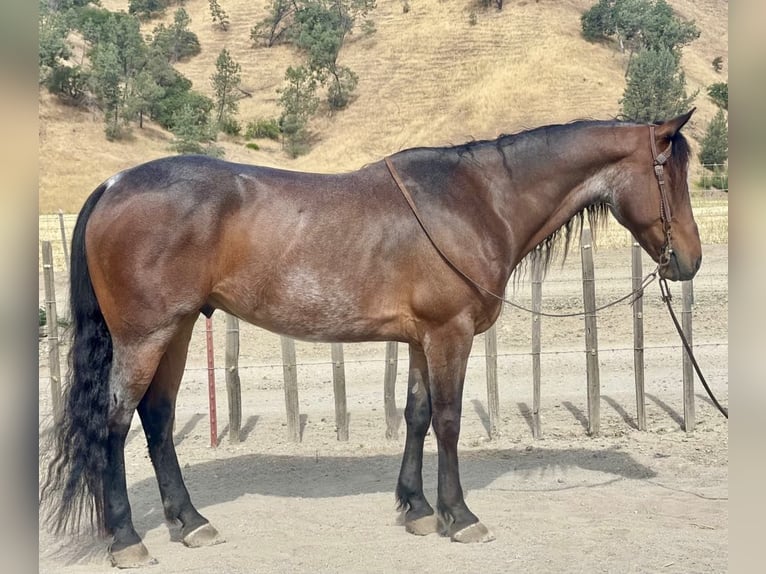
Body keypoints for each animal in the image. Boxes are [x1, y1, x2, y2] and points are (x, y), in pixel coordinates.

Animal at [40, 110, 701, 567]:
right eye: (670, 175)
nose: (689, 261)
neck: (477, 199)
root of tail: (114, 184)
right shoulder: (450, 334)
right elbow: (449, 420)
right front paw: (459, 515)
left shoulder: (421, 339)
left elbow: (416, 415)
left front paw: (416, 508)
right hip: (145, 336)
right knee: (113, 424)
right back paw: (127, 539)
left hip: (175, 333)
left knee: (156, 419)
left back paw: (190, 521)